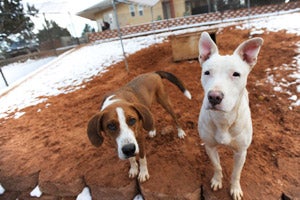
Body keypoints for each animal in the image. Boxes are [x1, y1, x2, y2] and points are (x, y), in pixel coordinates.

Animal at [198, 32, 264, 199]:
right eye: (207, 72)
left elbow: (236, 173)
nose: (214, 97)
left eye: (236, 74)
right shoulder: (210, 146)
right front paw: (217, 180)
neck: (223, 120)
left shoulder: (241, 152)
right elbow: (217, 166)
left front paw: (235, 189)